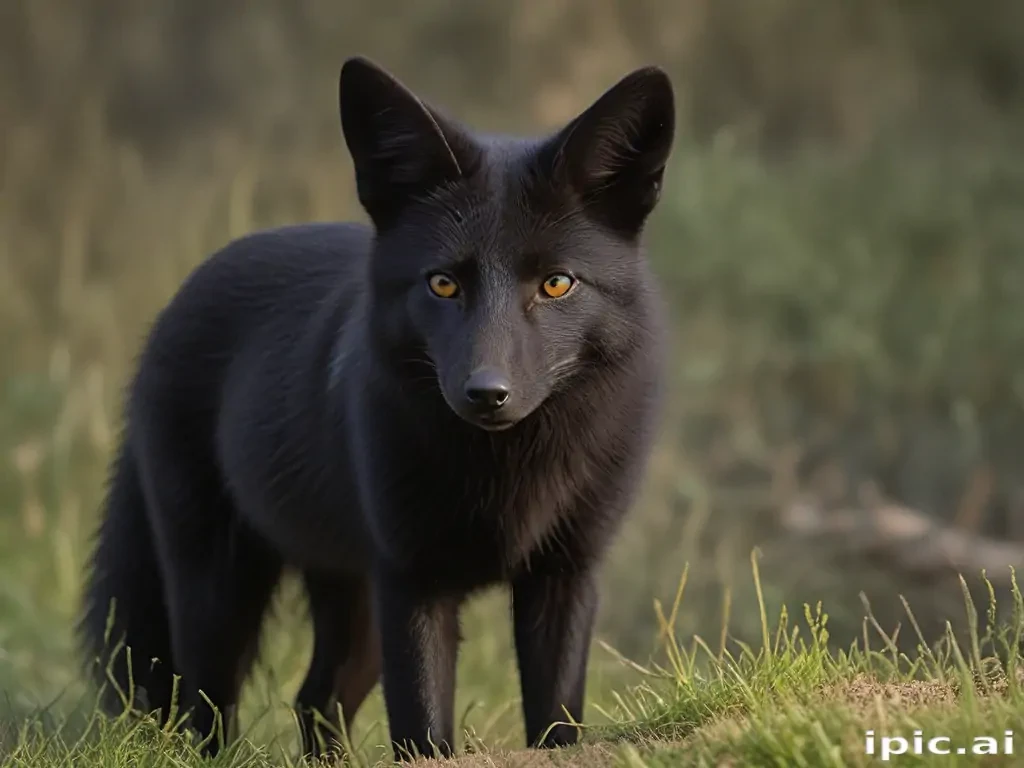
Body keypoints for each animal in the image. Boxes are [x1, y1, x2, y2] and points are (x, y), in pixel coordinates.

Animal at [78, 56, 675, 761]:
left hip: (351, 603)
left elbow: (556, 723)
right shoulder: (412, 581)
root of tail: (172, 307)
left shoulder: (566, 572)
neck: (508, 472)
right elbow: (422, 730)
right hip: (221, 592)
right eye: (442, 283)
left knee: (314, 700)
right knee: (207, 713)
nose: (487, 393)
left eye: (557, 284)